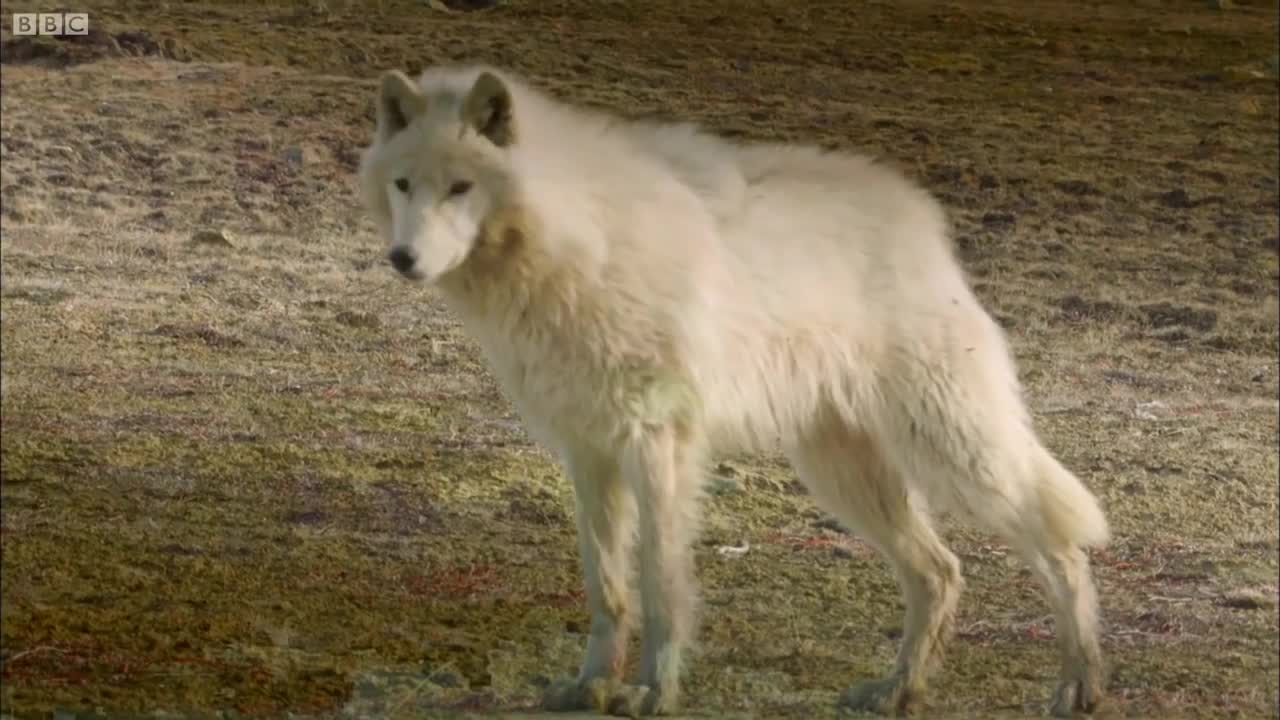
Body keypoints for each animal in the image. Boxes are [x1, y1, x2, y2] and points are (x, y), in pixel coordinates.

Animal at [358, 64, 1111, 712]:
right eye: (404, 185)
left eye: (461, 188)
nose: (403, 259)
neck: (576, 241)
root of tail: (925, 221)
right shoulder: (588, 452)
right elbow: (607, 588)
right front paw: (592, 685)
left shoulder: (657, 444)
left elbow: (661, 588)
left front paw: (653, 693)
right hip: (844, 477)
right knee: (942, 572)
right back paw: (898, 691)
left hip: (956, 456)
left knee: (1059, 550)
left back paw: (1078, 685)